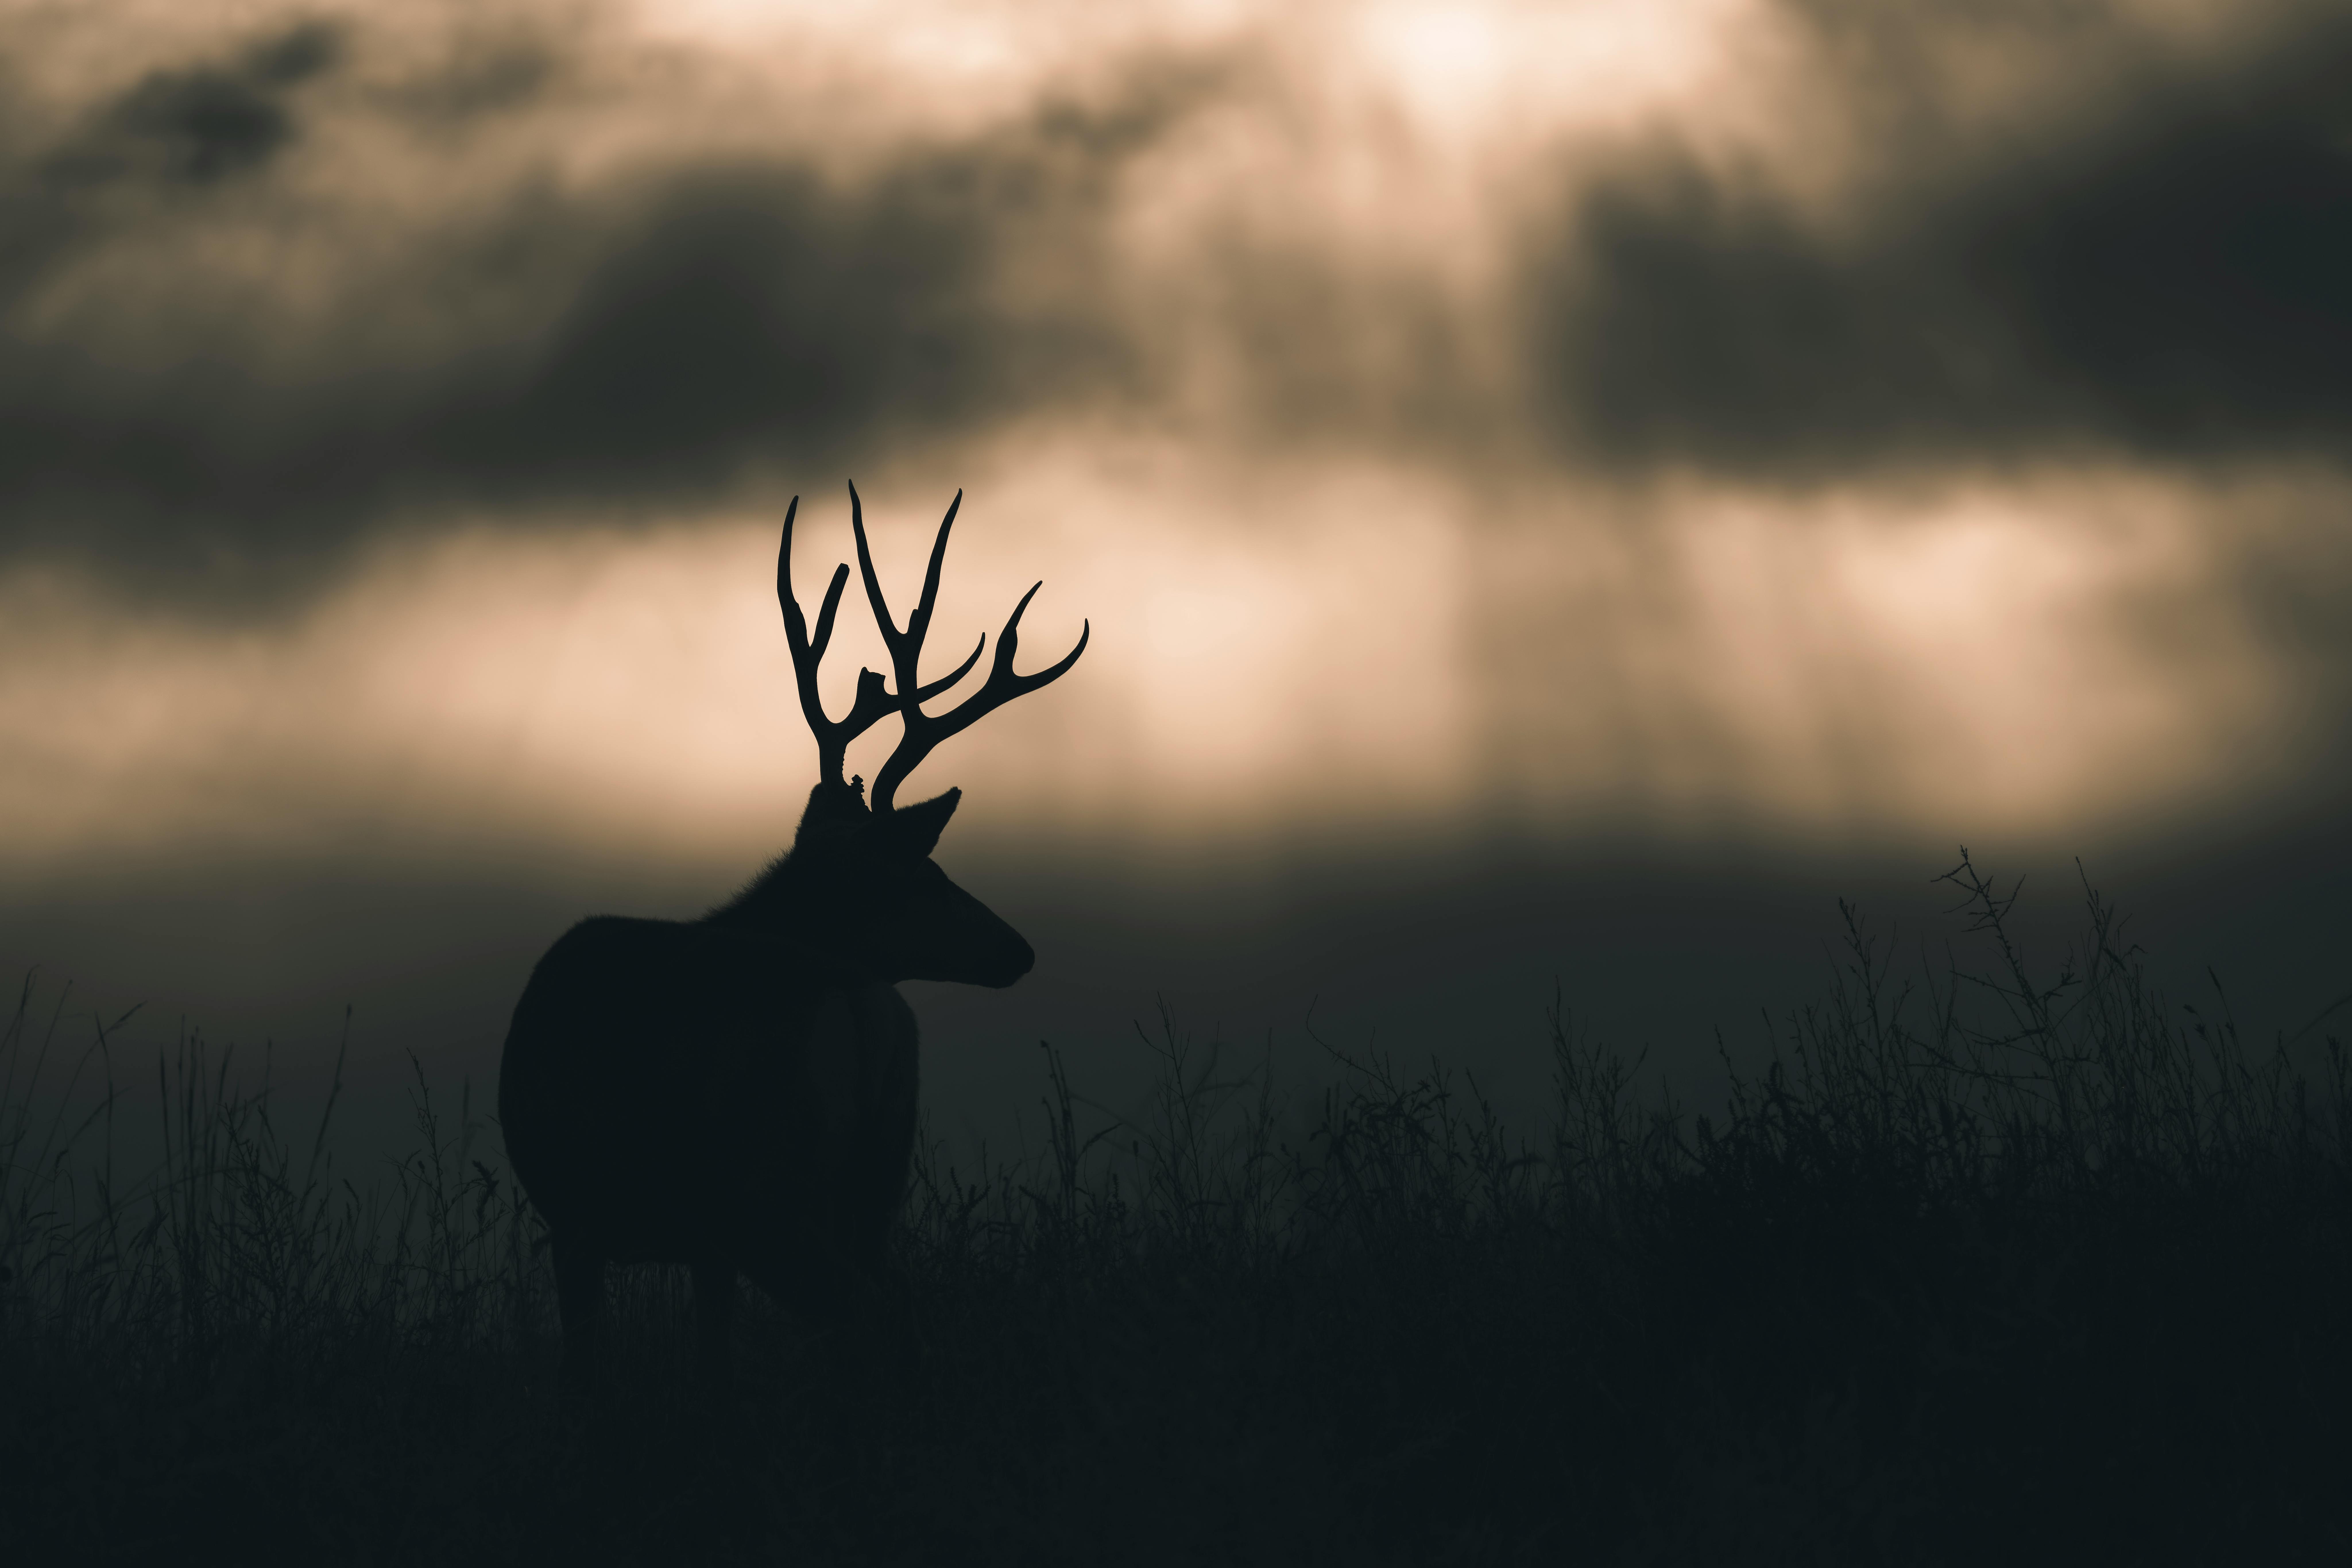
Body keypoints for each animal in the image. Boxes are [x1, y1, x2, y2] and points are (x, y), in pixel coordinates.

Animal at [497, 483, 1086, 1397]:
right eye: (925, 876)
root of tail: (857, 1005)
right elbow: (710, 1358)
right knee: (897, 1311)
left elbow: (585, 1368)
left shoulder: (580, 1215)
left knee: (864, 1316)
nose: (1017, 949)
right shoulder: (699, 1246)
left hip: (763, 1190)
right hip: (866, 1190)